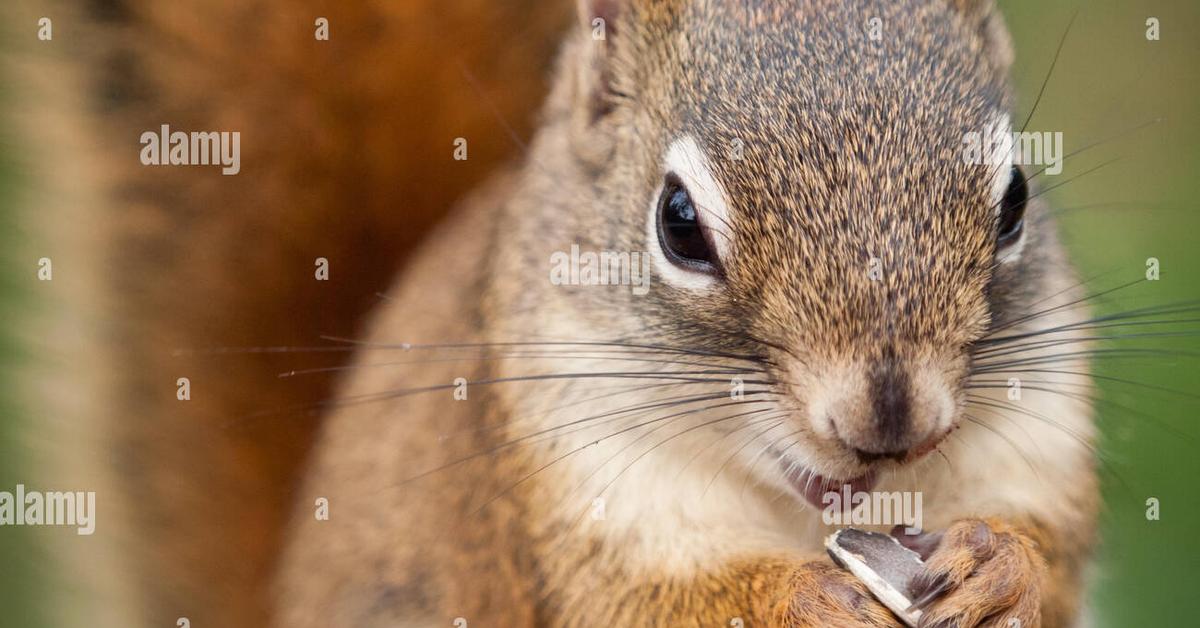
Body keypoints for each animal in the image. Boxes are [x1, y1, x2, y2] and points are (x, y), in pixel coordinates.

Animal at [4, 0, 1099, 624]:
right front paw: (799, 598)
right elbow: (654, 605)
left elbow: (1050, 559)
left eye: (1014, 199)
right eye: (678, 224)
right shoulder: (569, 498)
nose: (889, 421)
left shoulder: (1038, 438)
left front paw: (998, 564)